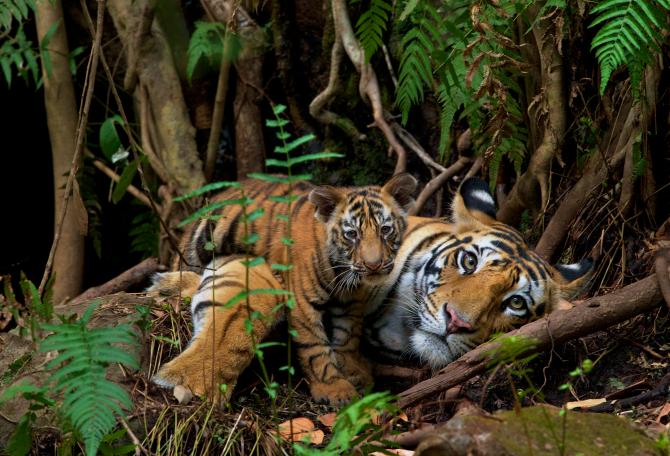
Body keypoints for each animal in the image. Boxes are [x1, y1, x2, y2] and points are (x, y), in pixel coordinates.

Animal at [149, 173, 418, 405]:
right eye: (352, 234)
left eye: (385, 229)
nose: (374, 265)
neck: (344, 272)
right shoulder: (303, 301)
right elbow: (314, 347)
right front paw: (335, 389)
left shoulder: (351, 303)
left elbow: (348, 336)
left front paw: (353, 371)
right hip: (198, 244)